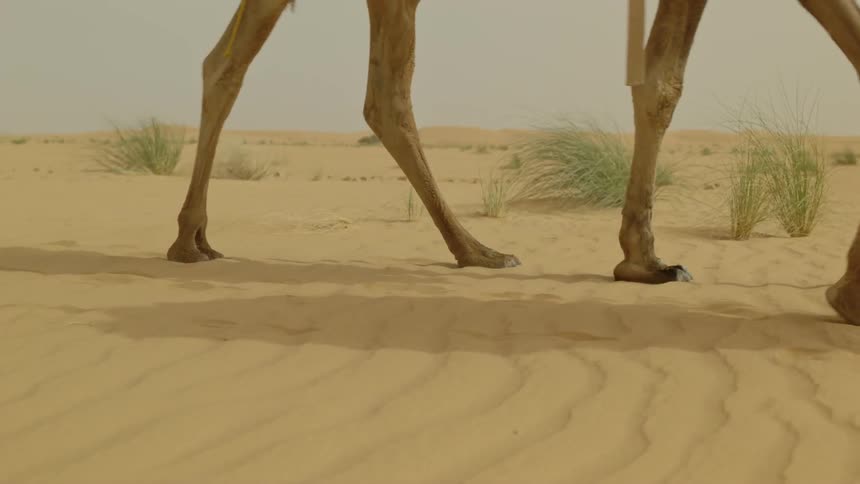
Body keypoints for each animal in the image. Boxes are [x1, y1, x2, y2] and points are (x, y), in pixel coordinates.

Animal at [166, 0, 860, 325]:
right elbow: (663, 81)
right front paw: (645, 259)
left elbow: (660, 74)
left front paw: (641, 256)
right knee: (385, 92)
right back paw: (479, 250)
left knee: (224, 61)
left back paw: (192, 239)